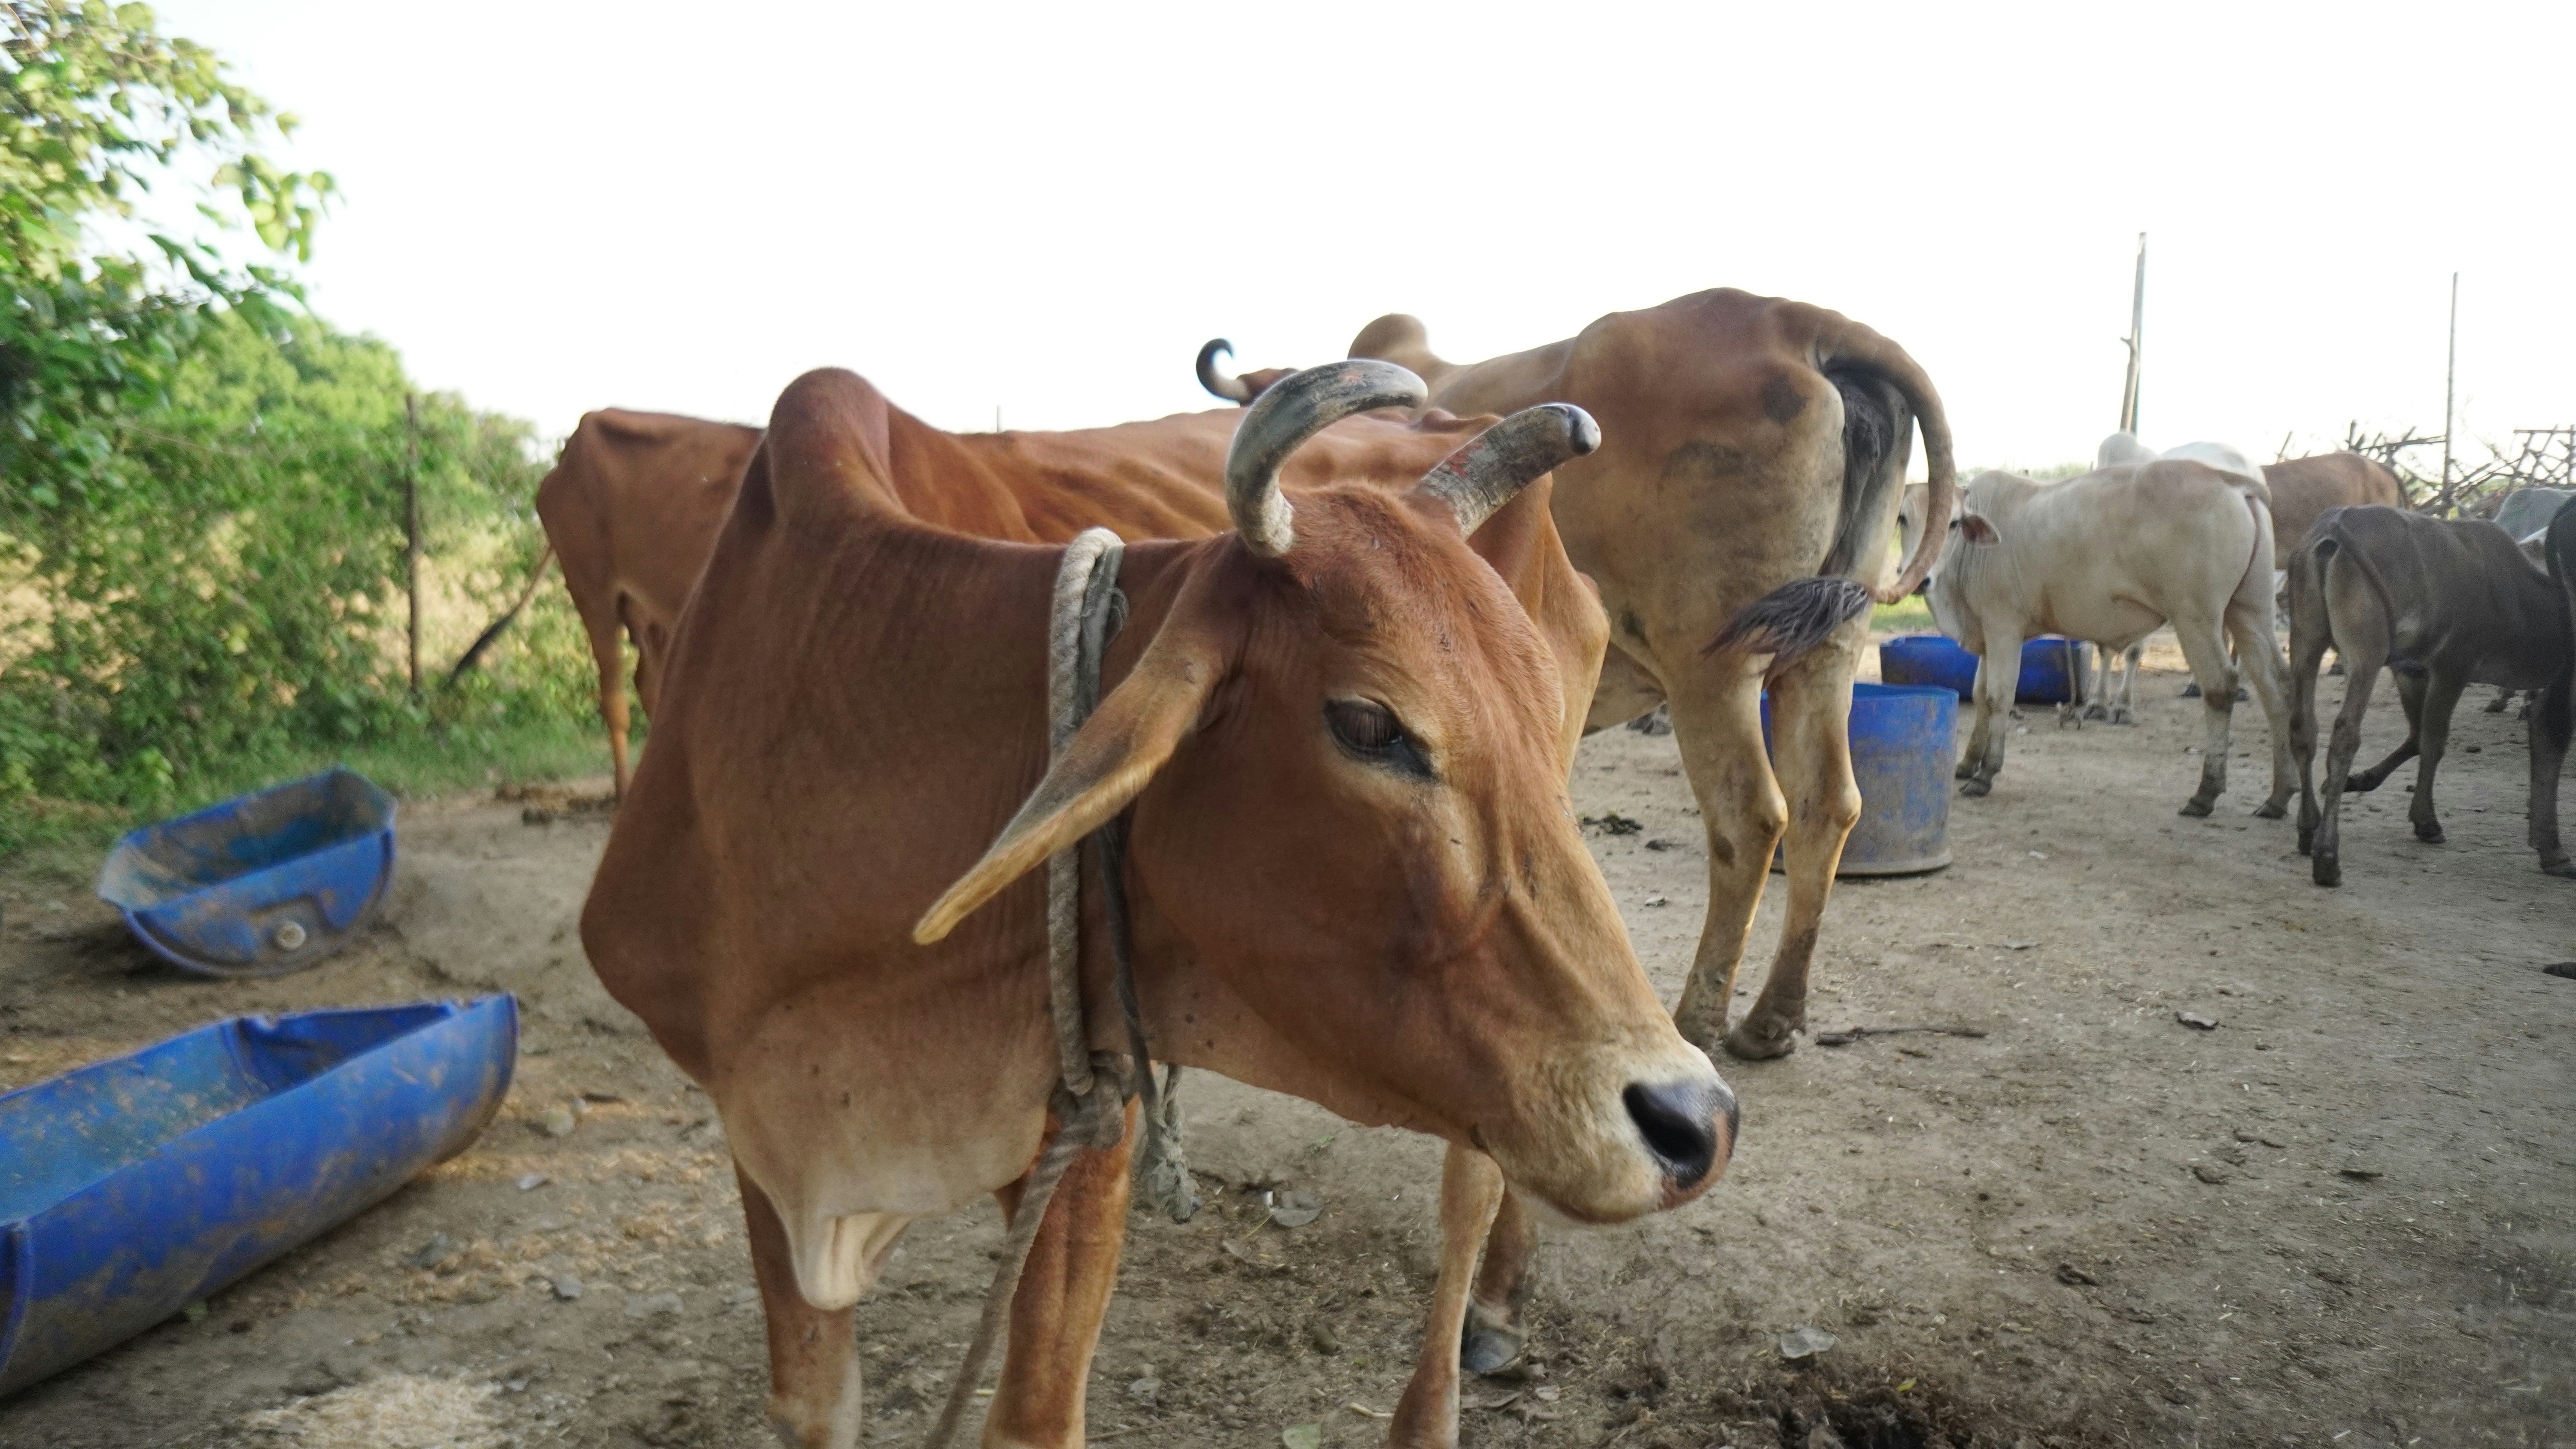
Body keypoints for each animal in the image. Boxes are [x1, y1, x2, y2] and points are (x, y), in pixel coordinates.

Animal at [578, 359, 1844, 1449]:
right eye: (1370, 723)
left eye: (1530, 707)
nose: (1696, 1122)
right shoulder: (757, 1123)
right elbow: (811, 1408)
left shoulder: (1086, 1110)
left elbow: (1032, 1420)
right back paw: (1504, 1298)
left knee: (1475, 1172)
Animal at [1922, 462, 2293, 814]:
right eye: (1909, 520)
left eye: (1952, 524)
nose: (1922, 577)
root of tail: (2227, 479)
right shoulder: (1987, 635)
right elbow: (1980, 695)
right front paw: (1968, 763)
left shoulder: (2004, 628)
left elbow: (1998, 697)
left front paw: (1985, 774)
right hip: (2252, 609)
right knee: (2275, 684)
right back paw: (2279, 797)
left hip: (2195, 617)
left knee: (2220, 685)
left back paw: (2206, 792)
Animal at [2285, 503, 2573, 886]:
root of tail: (2333, 528)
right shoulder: (2453, 666)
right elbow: (2434, 741)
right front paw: (2427, 821)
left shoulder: (2411, 669)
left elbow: (2417, 737)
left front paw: (2359, 780)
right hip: (2366, 652)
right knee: (2345, 735)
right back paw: (2327, 855)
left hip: (2306, 640)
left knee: (2302, 728)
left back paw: (2308, 828)